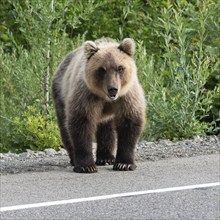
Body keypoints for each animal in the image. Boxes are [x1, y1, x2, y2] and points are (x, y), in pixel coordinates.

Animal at [52, 37, 146, 173]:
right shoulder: (86, 96)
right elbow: (81, 124)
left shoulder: (127, 97)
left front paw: (124, 164)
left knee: (106, 128)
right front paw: (86, 166)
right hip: (61, 94)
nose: (113, 89)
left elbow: (129, 123)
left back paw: (105, 158)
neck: (105, 98)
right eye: (102, 69)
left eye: (120, 68)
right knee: (65, 127)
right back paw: (74, 158)